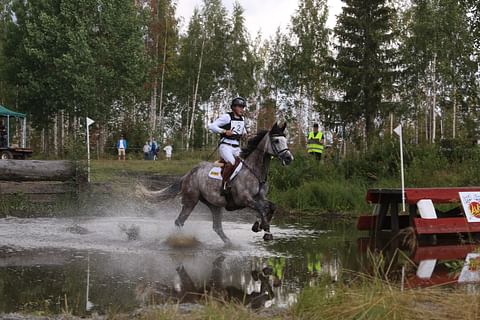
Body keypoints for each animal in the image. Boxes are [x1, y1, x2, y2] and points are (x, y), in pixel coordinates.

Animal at [137, 122, 294, 242]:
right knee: (179, 221)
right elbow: (261, 208)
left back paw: (229, 244)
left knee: (217, 227)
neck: (254, 171)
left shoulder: (260, 197)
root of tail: (188, 174)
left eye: (285, 139)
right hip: (191, 200)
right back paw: (179, 240)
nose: (289, 158)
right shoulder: (244, 199)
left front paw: (259, 226)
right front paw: (265, 230)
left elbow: (271, 206)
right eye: (276, 141)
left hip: (214, 205)